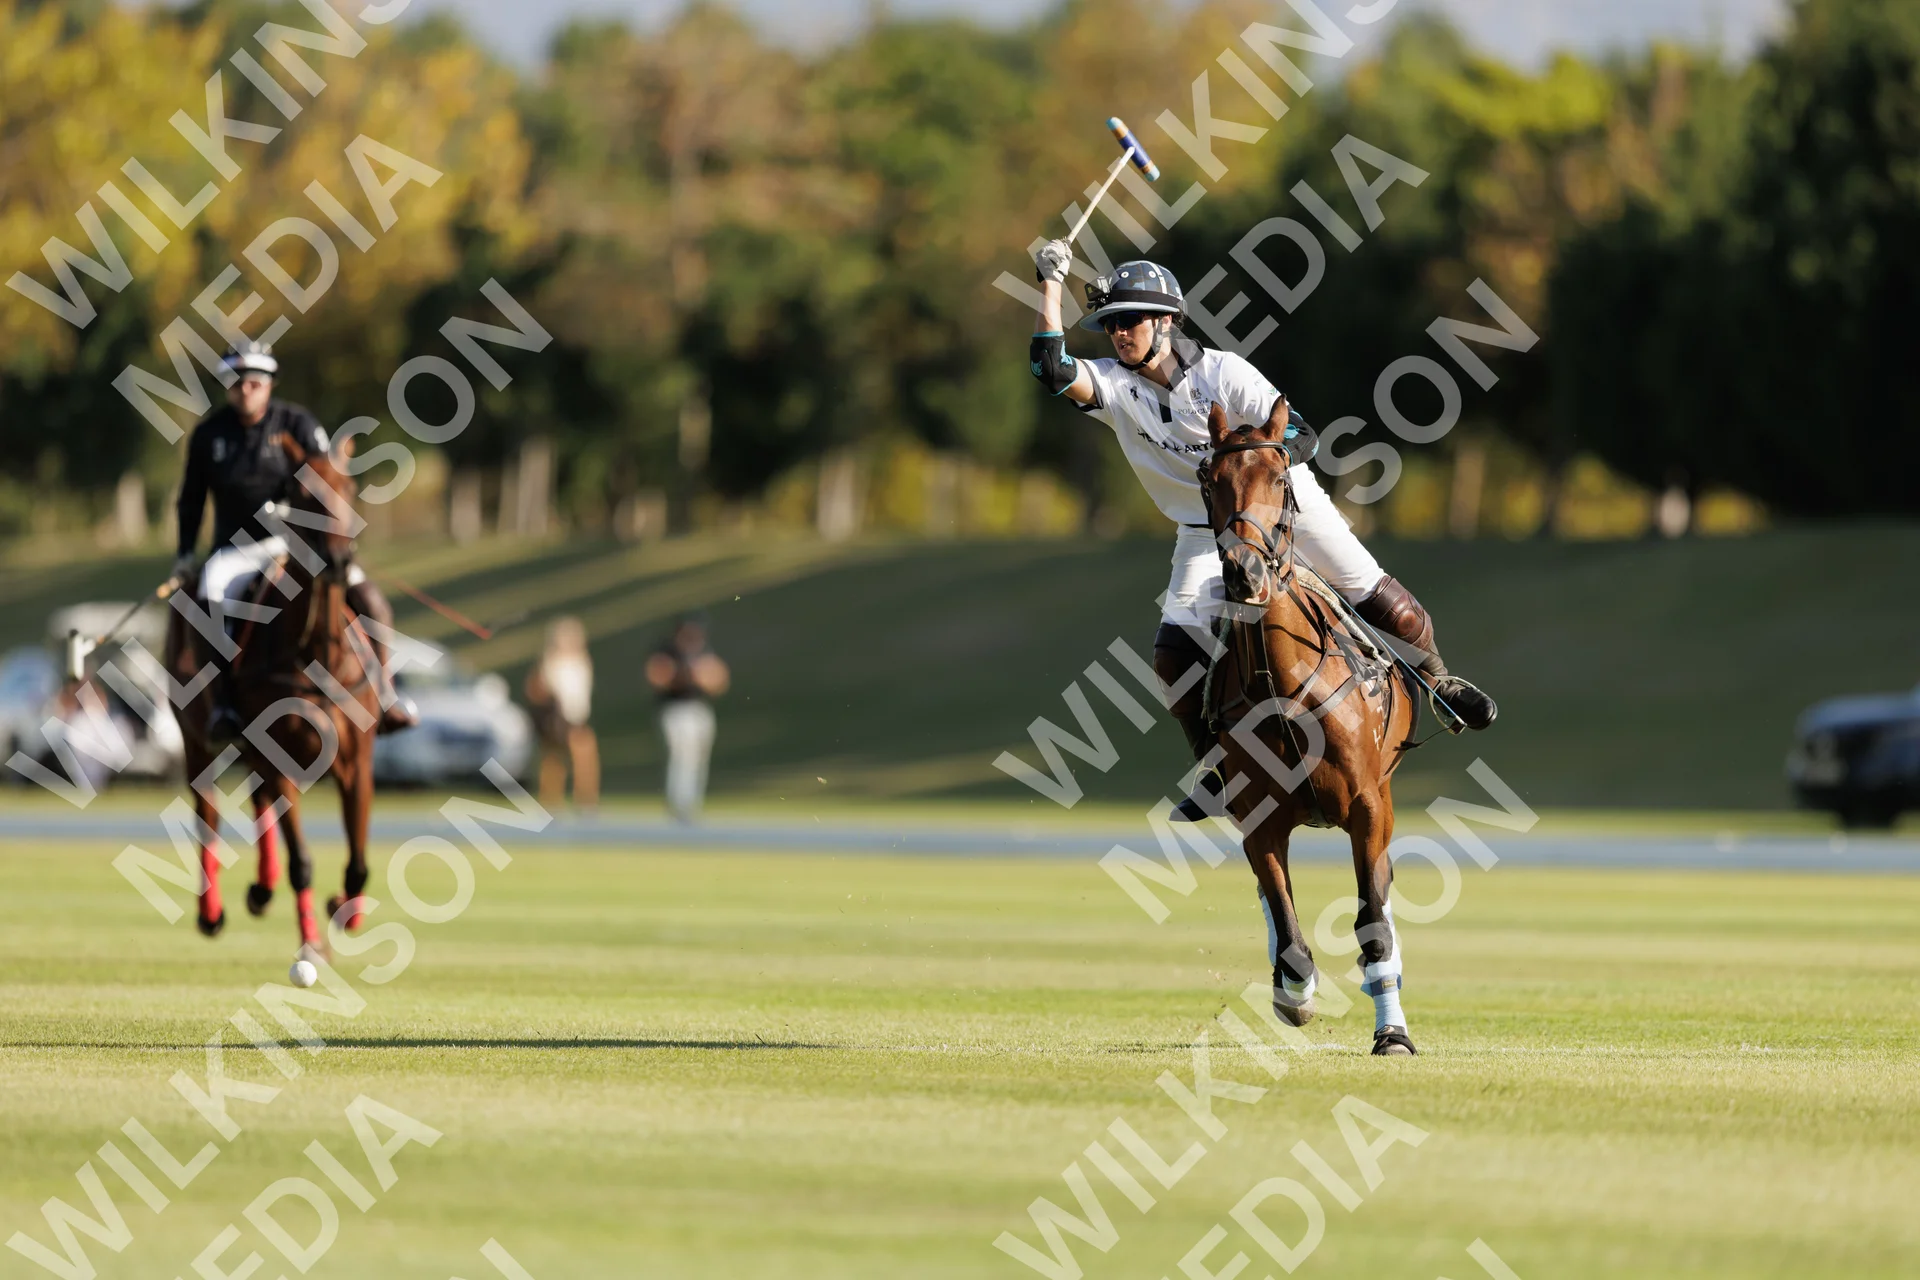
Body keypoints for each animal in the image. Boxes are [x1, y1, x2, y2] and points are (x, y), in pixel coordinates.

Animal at [165, 433, 380, 959]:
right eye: (302, 495)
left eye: (350, 488)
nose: (340, 562)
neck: (316, 652)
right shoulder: (278, 757)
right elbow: (302, 860)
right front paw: (310, 947)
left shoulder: (357, 759)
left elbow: (358, 862)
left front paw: (344, 911)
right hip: (196, 737)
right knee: (208, 814)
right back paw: (212, 912)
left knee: (257, 799)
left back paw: (262, 889)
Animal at [1196, 400, 1424, 1056]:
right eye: (1210, 482)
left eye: (1279, 478)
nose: (1243, 572)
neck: (1284, 687)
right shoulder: (1259, 818)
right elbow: (1290, 933)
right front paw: (1294, 996)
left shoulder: (1368, 807)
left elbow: (1374, 925)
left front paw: (1392, 1034)